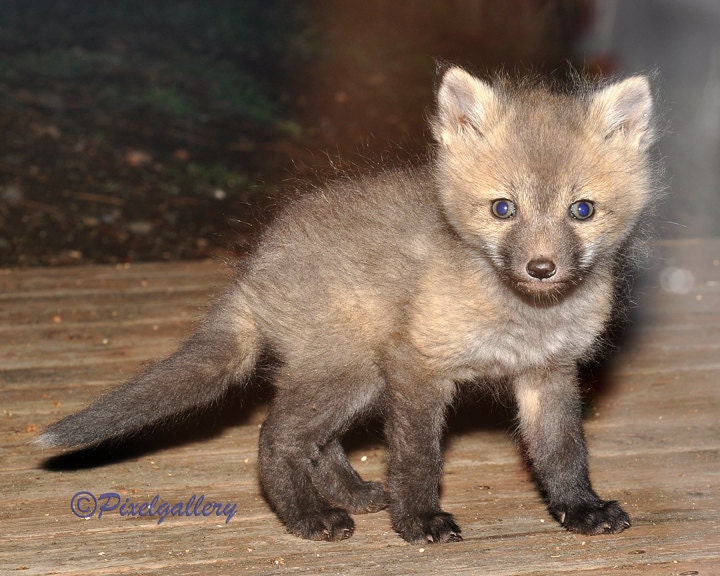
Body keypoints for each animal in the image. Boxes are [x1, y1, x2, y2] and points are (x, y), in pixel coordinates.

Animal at [36, 65, 659, 544]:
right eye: (502, 209)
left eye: (582, 210)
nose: (541, 268)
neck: (525, 318)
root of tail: (254, 269)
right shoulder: (418, 366)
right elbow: (417, 457)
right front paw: (417, 521)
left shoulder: (549, 373)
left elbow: (562, 451)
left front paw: (580, 509)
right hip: (352, 369)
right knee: (276, 438)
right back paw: (310, 518)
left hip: (356, 377)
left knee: (319, 444)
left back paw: (353, 494)